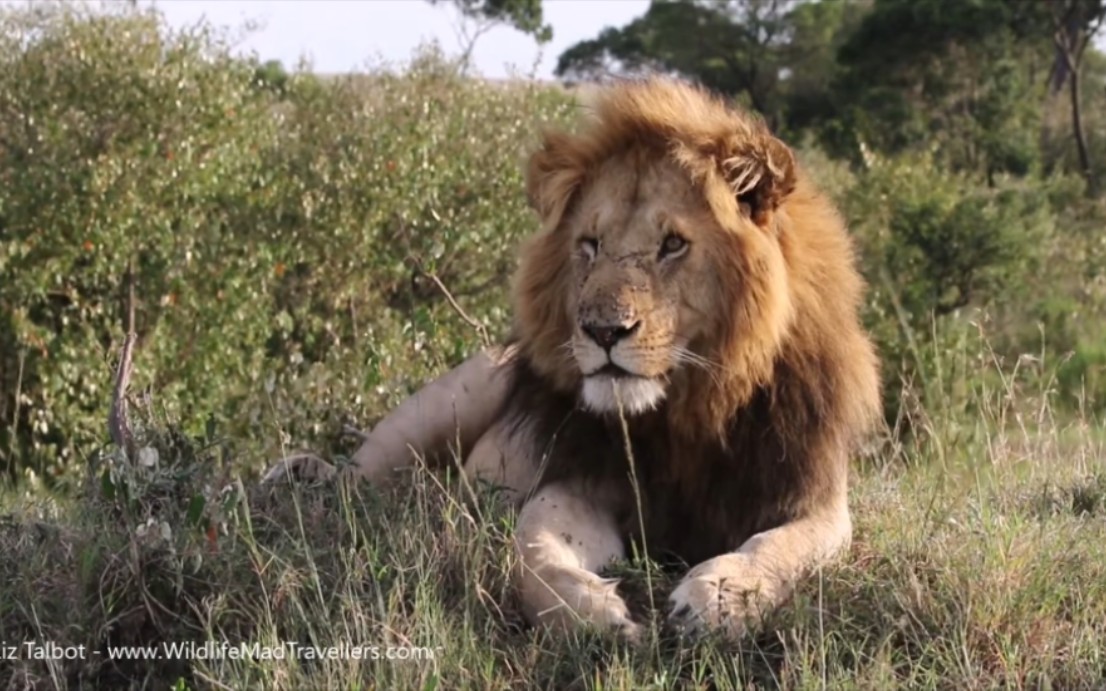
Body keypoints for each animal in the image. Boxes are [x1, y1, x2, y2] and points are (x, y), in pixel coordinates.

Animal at [265, 77, 880, 636]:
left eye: (673, 245)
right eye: (590, 245)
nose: (604, 330)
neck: (688, 412)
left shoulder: (814, 501)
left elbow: (776, 550)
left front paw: (719, 598)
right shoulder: (578, 480)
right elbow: (533, 550)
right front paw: (594, 617)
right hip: (447, 402)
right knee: (358, 479)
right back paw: (301, 477)